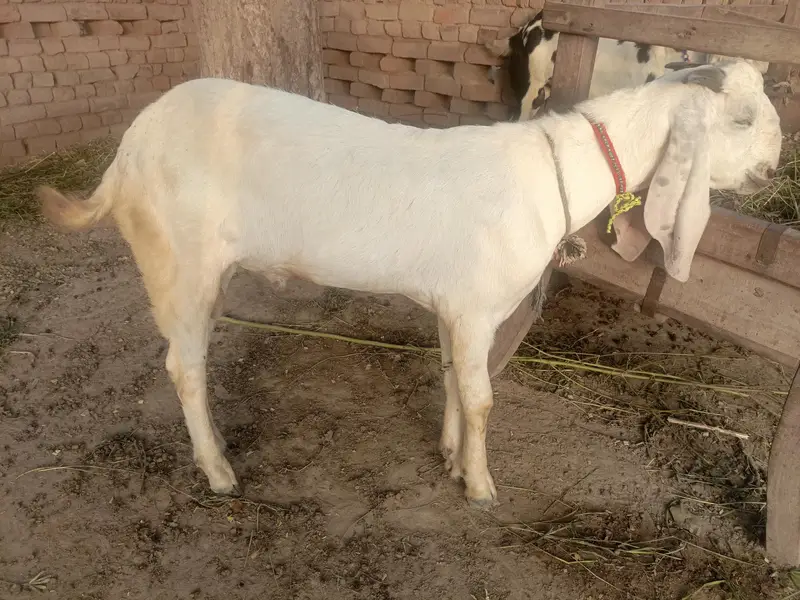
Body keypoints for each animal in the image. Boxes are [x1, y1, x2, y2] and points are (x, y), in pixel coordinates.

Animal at [38, 60, 781, 509]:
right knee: (183, 366)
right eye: (741, 120)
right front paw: (481, 485)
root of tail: (124, 156)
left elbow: (452, 378)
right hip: (178, 261)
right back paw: (219, 470)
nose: (774, 171)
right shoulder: (480, 308)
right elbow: (482, 397)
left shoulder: (455, 307)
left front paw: (450, 454)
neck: (553, 173)